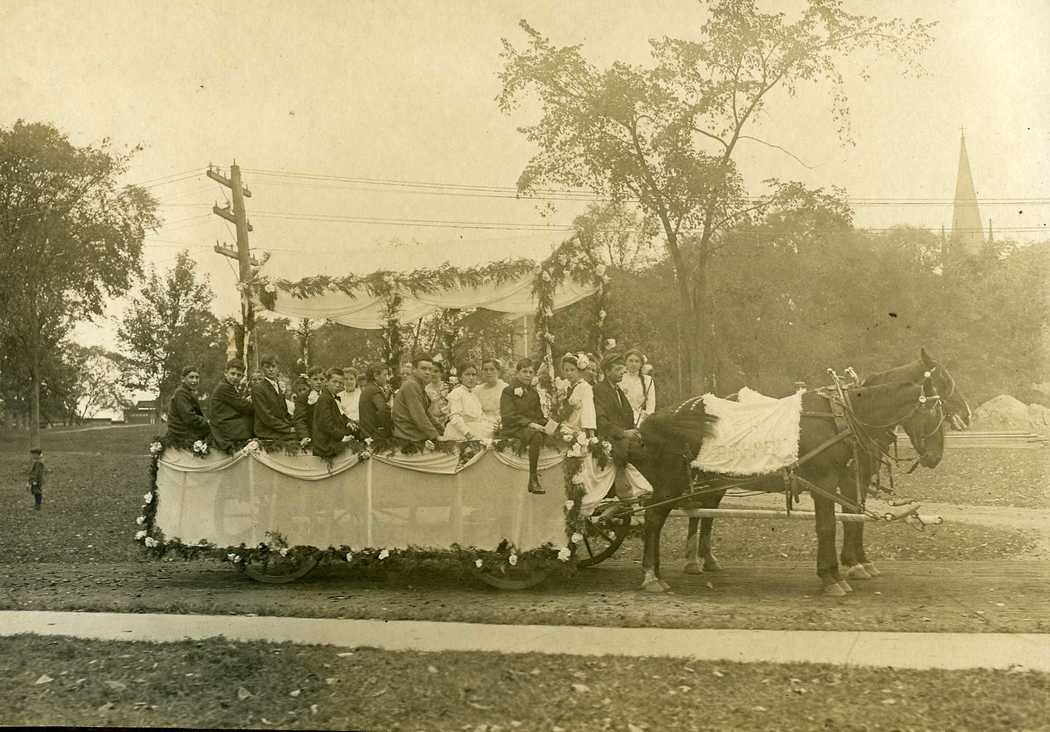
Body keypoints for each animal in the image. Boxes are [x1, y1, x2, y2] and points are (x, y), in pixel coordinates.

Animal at [634, 348, 970, 592]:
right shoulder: (831, 481)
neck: (844, 418)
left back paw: (697, 561)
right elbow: (832, 525)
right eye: (941, 392)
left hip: (710, 479)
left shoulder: (850, 479)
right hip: (672, 482)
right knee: (655, 517)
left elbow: (851, 519)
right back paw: (653, 575)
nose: (935, 456)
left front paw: (854, 564)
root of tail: (654, 421)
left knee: (701, 512)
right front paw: (837, 574)